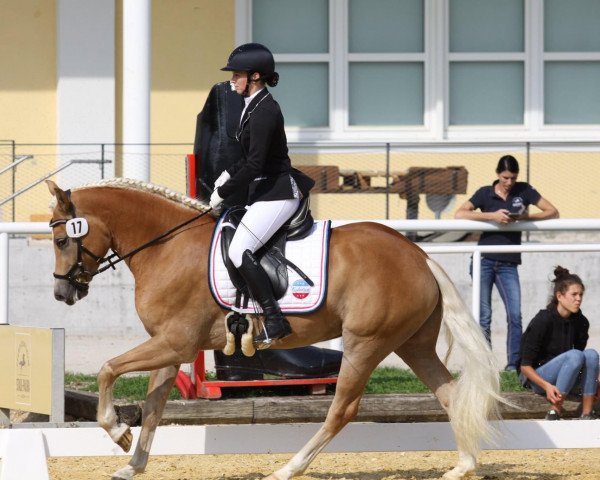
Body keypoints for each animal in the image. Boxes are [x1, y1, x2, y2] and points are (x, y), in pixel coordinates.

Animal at [45, 178, 502, 478]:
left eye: (62, 240)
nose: (62, 293)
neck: (166, 246)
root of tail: (418, 255)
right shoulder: (169, 346)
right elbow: (155, 405)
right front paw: (132, 462)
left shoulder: (175, 343)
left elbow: (107, 369)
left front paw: (117, 430)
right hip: (412, 344)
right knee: (450, 394)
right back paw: (463, 467)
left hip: (366, 344)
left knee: (343, 409)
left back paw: (287, 469)